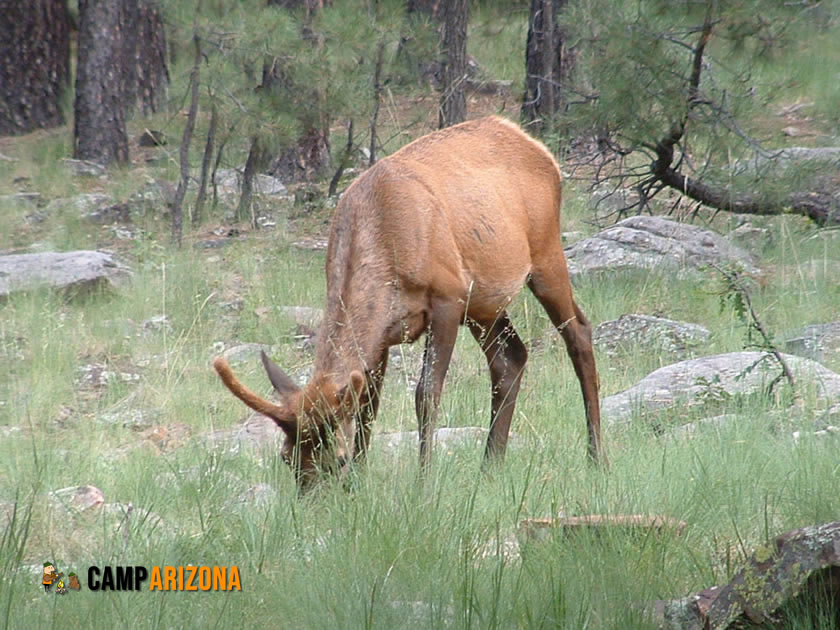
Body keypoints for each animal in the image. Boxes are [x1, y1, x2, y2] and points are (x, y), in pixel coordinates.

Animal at [212, 118, 604, 494]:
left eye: (337, 459)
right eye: (287, 457)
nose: (314, 503)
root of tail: (536, 146)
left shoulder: (447, 298)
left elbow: (426, 394)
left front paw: (423, 481)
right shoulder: (383, 332)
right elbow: (368, 406)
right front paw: (360, 483)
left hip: (544, 255)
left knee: (579, 333)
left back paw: (596, 456)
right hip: (483, 302)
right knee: (511, 358)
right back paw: (490, 469)